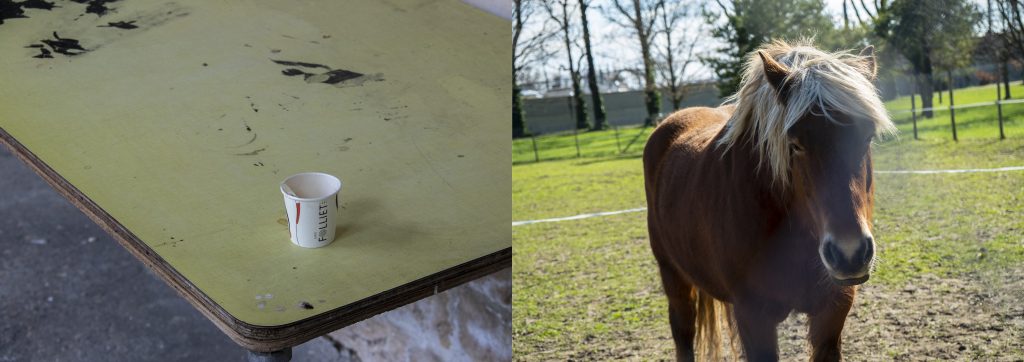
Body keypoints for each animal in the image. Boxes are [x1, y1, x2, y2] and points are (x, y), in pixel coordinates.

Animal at [647, 39, 897, 362]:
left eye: (866, 137)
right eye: (795, 144)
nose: (849, 254)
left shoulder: (832, 312)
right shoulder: (754, 319)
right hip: (673, 276)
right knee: (683, 333)